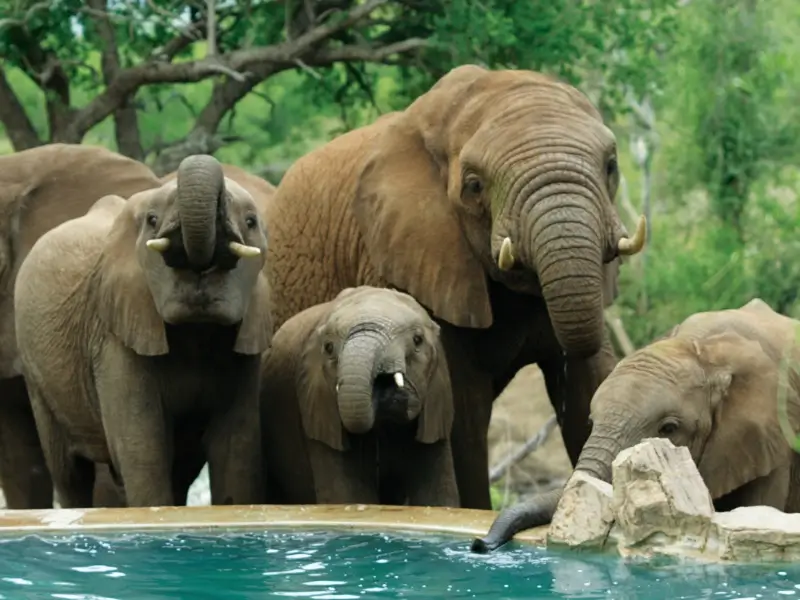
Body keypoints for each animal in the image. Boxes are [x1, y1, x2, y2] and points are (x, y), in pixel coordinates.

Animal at [14, 154, 272, 508]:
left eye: (250, 222)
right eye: (152, 220)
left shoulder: (243, 347)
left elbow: (236, 451)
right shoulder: (113, 340)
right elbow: (142, 448)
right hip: (36, 376)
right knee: (69, 473)